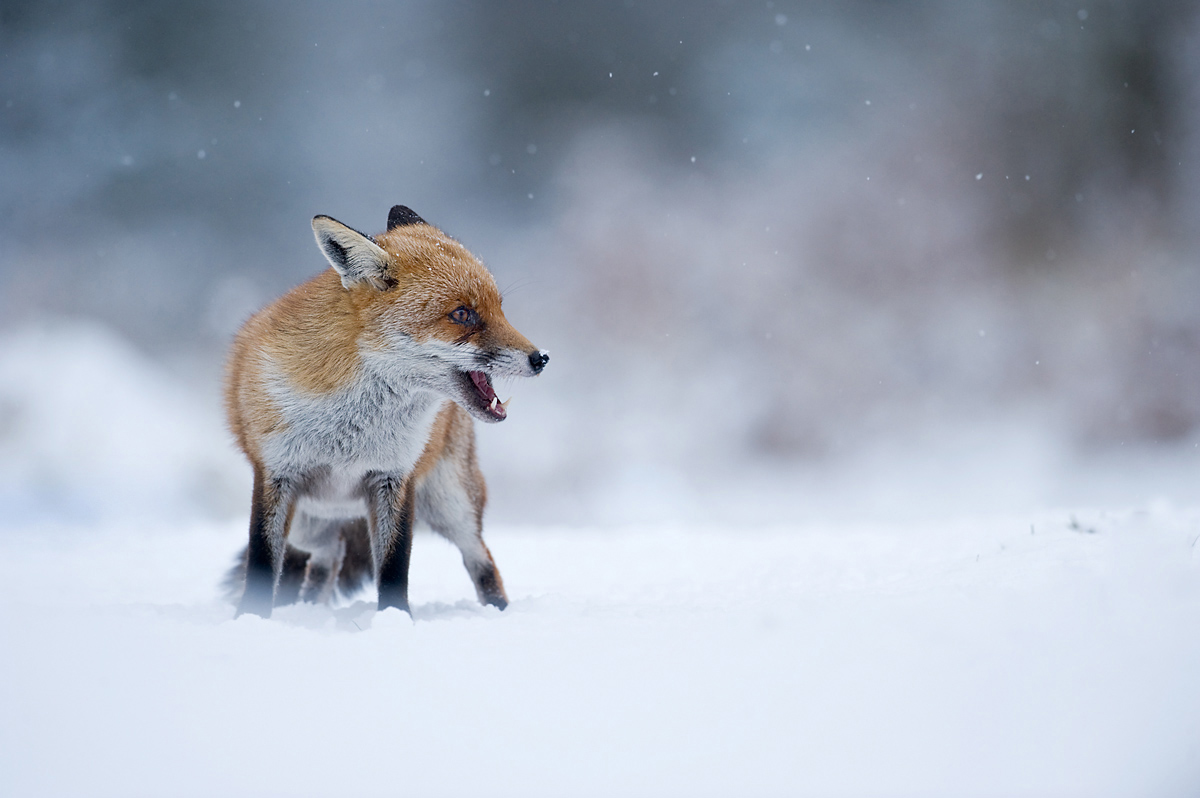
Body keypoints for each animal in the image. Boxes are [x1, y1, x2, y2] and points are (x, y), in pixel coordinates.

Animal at [224, 204, 548, 618]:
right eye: (462, 314)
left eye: (500, 310)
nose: (541, 358)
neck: (350, 430)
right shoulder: (275, 475)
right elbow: (263, 564)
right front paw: (250, 618)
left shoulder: (395, 478)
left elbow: (395, 566)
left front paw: (395, 620)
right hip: (310, 523)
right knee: (327, 557)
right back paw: (309, 608)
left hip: (452, 504)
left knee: (481, 559)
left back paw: (500, 613)